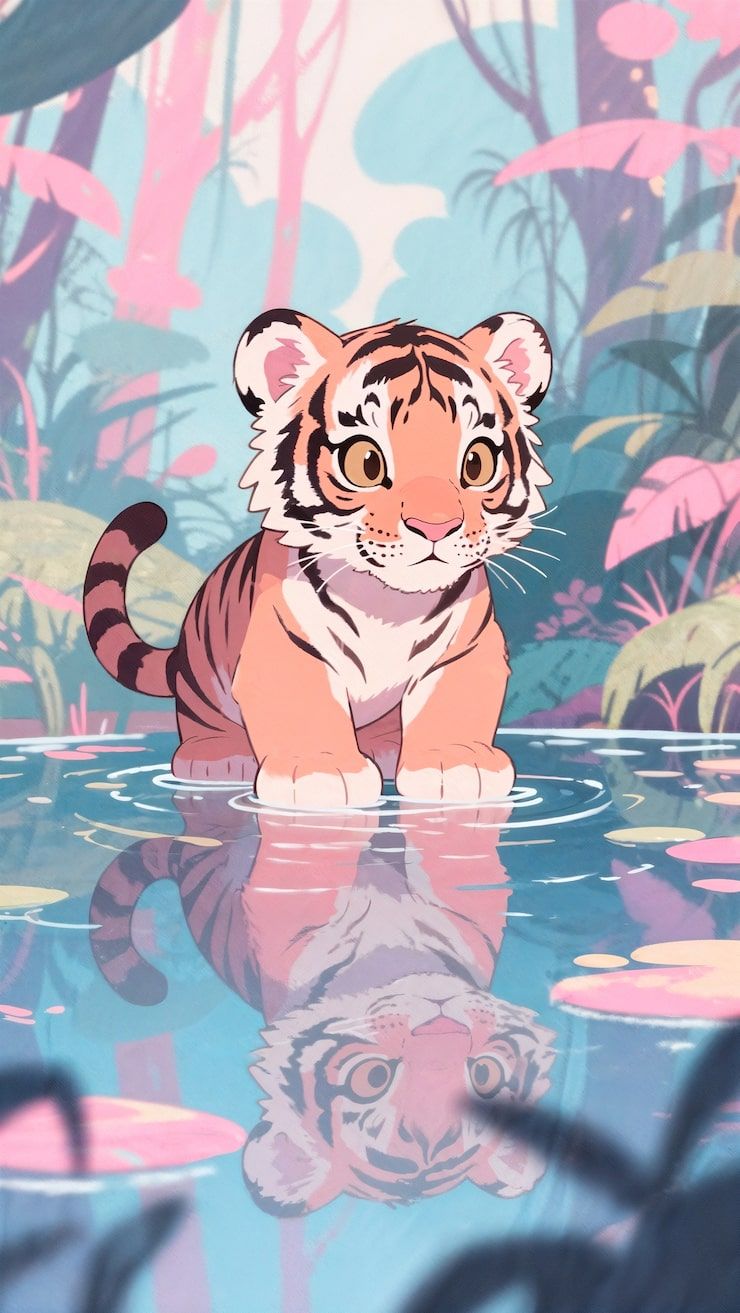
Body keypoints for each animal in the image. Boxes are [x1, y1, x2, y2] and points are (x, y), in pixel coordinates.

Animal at [83, 310, 552, 806]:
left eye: (476, 463)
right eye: (366, 462)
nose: (435, 526)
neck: (391, 604)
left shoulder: (466, 646)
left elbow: (452, 700)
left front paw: (456, 765)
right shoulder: (285, 643)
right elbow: (305, 704)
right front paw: (320, 774)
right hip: (202, 674)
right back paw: (217, 758)